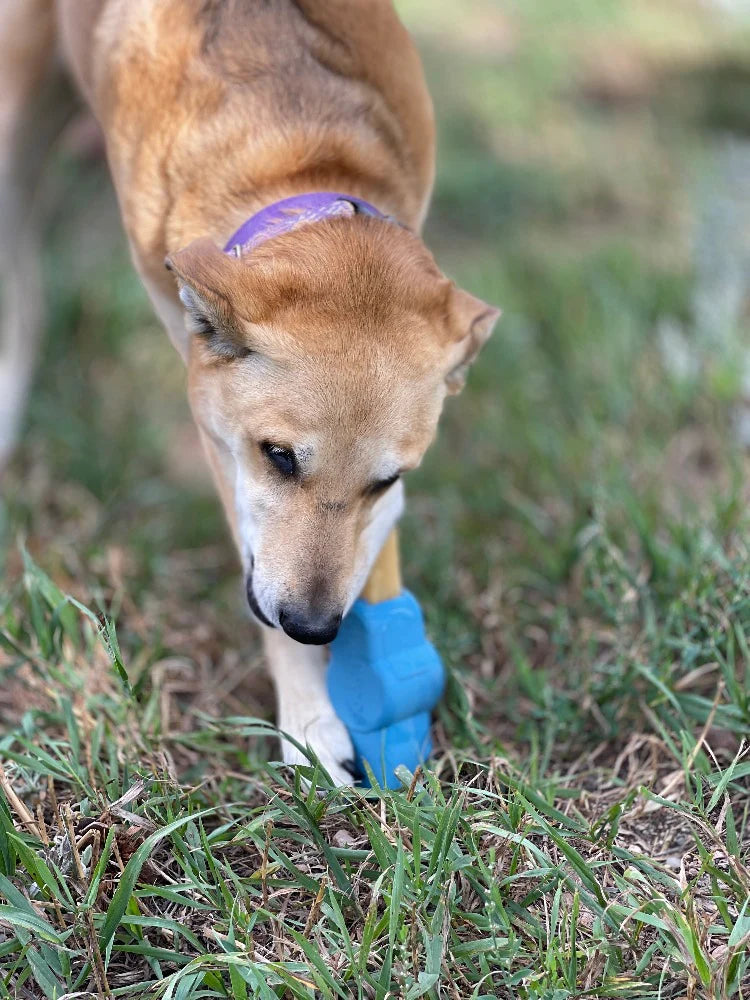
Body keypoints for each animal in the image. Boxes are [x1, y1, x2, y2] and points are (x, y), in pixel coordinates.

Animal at [4, 0, 506, 780]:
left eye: (386, 479)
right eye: (278, 456)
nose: (313, 628)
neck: (298, 152)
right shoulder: (210, 413)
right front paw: (309, 719)